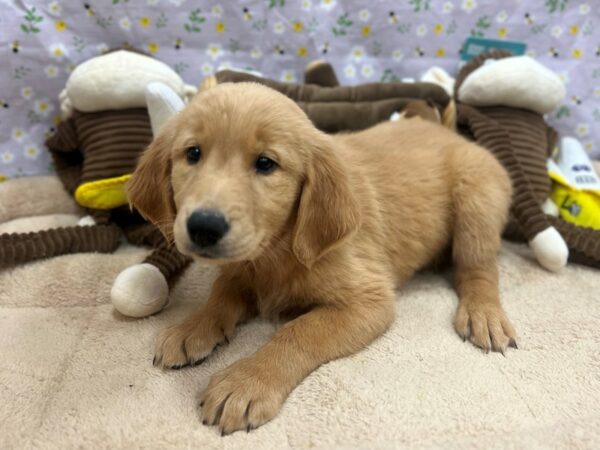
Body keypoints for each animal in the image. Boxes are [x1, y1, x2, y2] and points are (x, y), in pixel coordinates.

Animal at [127, 82, 516, 434]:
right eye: (193, 154)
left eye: (265, 163)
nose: (204, 227)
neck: (276, 249)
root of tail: (448, 132)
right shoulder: (240, 269)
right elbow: (221, 295)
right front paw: (192, 327)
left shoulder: (369, 300)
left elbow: (298, 332)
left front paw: (246, 382)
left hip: (476, 201)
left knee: (478, 268)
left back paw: (484, 315)